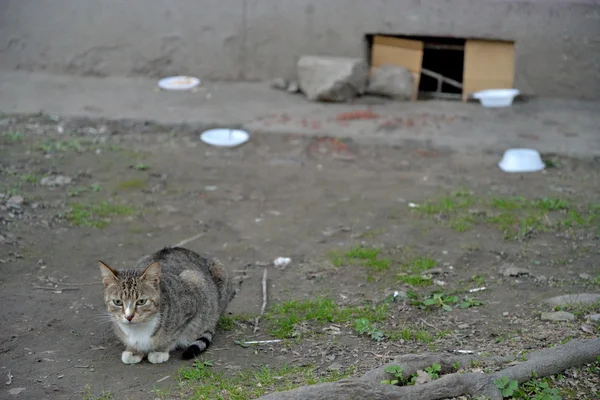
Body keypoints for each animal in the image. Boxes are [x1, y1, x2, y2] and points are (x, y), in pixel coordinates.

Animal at [97, 245, 236, 364]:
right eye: (118, 302)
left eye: (141, 301)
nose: (129, 317)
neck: (139, 329)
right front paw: (133, 350)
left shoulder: (193, 293)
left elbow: (174, 334)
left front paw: (159, 351)